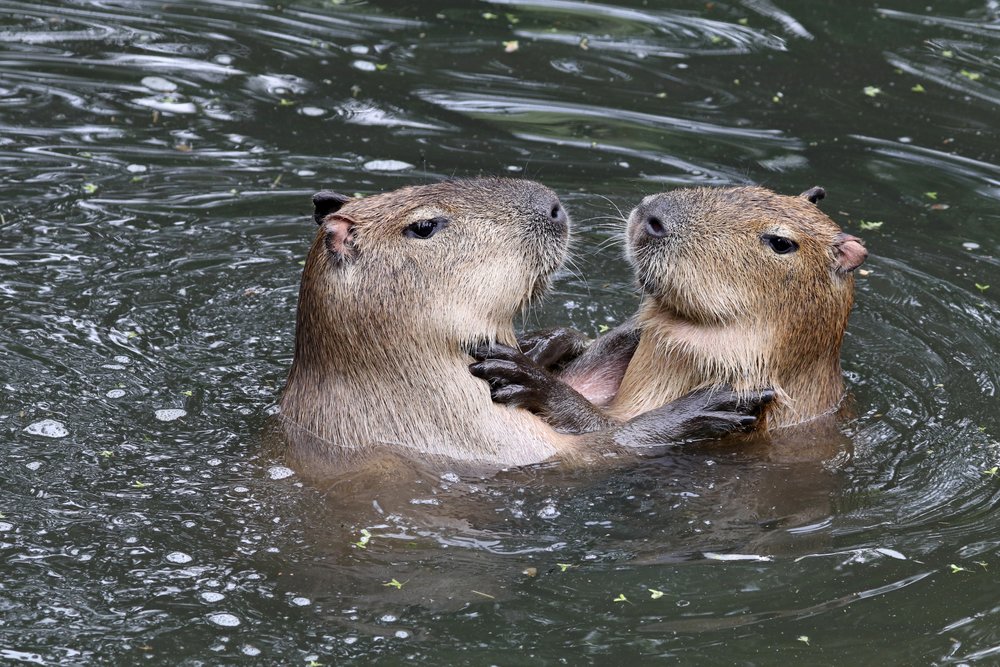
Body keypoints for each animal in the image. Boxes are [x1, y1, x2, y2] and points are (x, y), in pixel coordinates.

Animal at [278, 178, 771, 474]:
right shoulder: (476, 438)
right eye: (424, 225)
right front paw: (713, 402)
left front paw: (543, 347)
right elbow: (602, 448)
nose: (553, 207)